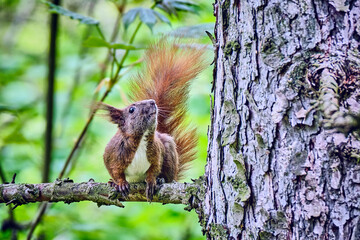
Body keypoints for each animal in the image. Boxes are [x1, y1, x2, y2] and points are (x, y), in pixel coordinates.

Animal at [98, 39, 207, 201]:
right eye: (131, 109)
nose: (152, 102)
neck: (141, 139)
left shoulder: (156, 153)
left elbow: (154, 169)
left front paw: (152, 181)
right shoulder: (113, 153)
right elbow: (114, 170)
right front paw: (119, 183)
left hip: (169, 150)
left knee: (170, 176)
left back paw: (162, 179)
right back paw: (111, 182)